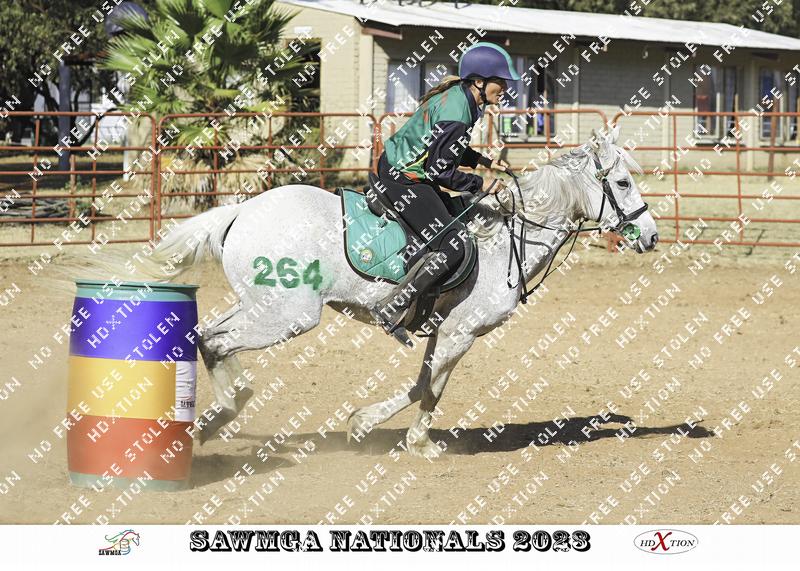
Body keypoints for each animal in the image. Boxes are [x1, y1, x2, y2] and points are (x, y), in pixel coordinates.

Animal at [121, 124, 658, 459]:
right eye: (622, 182)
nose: (651, 237)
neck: (507, 239)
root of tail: (241, 210)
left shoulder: (445, 330)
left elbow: (426, 385)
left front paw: (387, 431)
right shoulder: (461, 332)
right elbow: (428, 387)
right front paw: (395, 434)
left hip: (260, 306)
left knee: (210, 335)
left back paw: (225, 407)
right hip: (289, 316)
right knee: (214, 340)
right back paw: (223, 413)